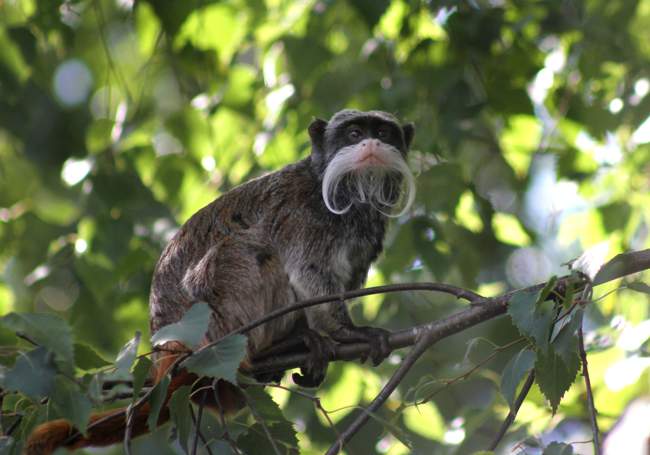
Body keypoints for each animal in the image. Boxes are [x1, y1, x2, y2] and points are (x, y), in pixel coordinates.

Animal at [25, 109, 415, 454]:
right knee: (244, 250)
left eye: (383, 133)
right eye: (353, 133)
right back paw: (278, 346)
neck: (351, 198)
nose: (370, 143)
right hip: (212, 322)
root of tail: (167, 349)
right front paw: (352, 333)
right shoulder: (302, 214)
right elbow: (309, 274)